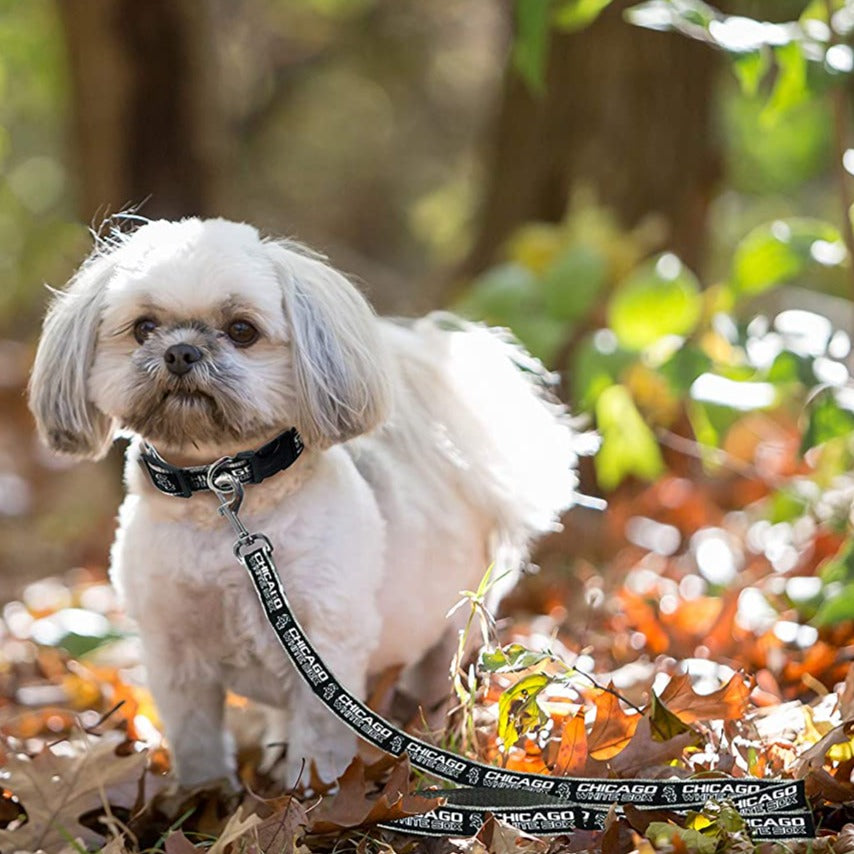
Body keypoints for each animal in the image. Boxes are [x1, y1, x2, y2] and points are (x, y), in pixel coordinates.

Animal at [30, 219, 584, 788]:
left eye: (242, 330)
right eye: (143, 327)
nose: (181, 352)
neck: (219, 493)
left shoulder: (326, 644)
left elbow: (319, 741)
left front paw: (311, 794)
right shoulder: (174, 654)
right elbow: (196, 741)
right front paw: (204, 795)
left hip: (451, 628)